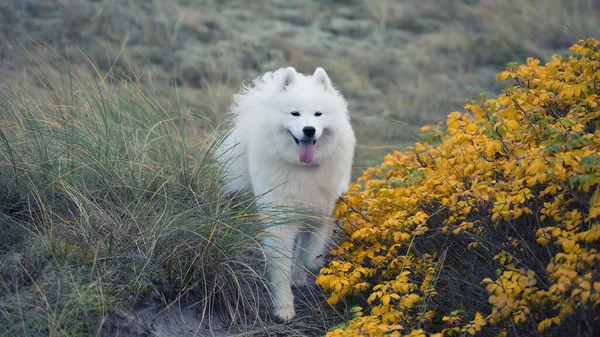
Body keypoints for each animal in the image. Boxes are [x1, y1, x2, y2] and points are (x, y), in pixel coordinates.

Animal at [217, 66, 354, 320]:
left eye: (318, 114)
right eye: (295, 114)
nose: (309, 130)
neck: (304, 169)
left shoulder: (320, 214)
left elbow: (310, 257)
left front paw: (300, 274)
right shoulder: (281, 222)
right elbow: (281, 268)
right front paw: (284, 307)